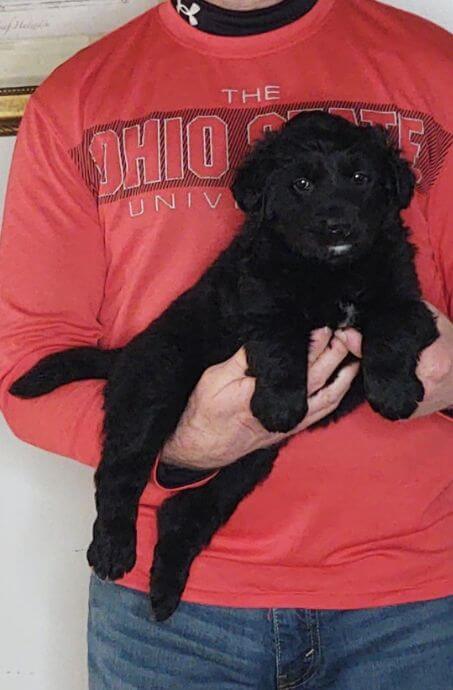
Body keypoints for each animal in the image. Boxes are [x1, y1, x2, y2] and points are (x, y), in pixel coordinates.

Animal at [10, 111, 436, 620]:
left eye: (360, 178)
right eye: (301, 184)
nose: (337, 227)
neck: (333, 272)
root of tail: (127, 350)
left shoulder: (407, 299)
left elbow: (391, 330)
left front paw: (394, 393)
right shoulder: (259, 296)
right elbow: (280, 341)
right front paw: (281, 403)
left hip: (249, 461)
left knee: (186, 511)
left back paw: (164, 589)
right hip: (156, 388)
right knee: (120, 472)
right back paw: (113, 550)